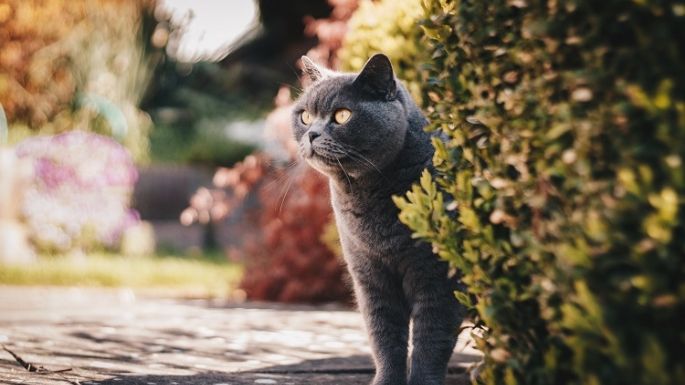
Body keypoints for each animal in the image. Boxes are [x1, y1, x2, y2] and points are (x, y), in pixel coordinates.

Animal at [292, 54, 462, 384]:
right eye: (304, 116)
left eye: (342, 115)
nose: (311, 133)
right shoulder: (370, 275)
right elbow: (384, 336)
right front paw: (386, 380)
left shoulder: (439, 278)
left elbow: (430, 341)